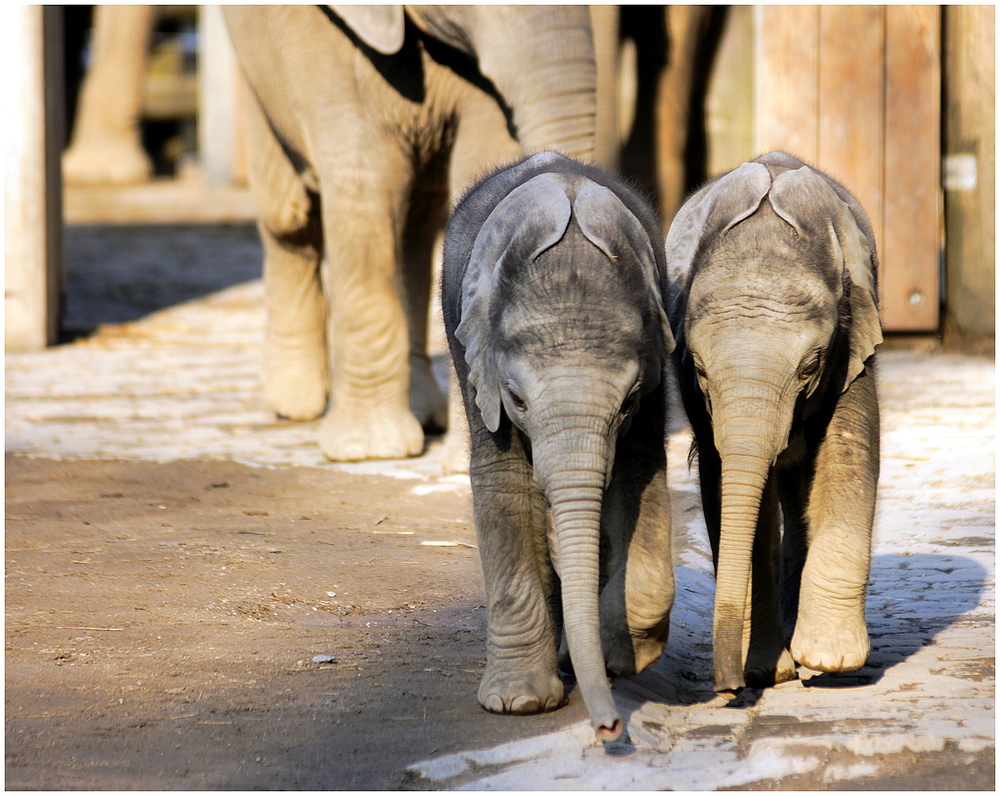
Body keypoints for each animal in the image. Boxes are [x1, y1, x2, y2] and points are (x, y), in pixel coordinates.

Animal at [222, 4, 592, 460]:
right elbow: (363, 179)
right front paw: (369, 450)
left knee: (414, 225)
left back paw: (424, 416)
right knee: (288, 216)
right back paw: (296, 403)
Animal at [442, 152, 676, 744]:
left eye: (628, 402)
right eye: (519, 400)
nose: (611, 727)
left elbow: (639, 471)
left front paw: (618, 660)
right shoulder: (478, 358)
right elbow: (503, 484)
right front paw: (519, 704)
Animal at [664, 152, 884, 700]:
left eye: (809, 367)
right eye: (700, 369)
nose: (726, 689)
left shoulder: (854, 337)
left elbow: (848, 450)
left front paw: (829, 659)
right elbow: (725, 482)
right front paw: (769, 672)